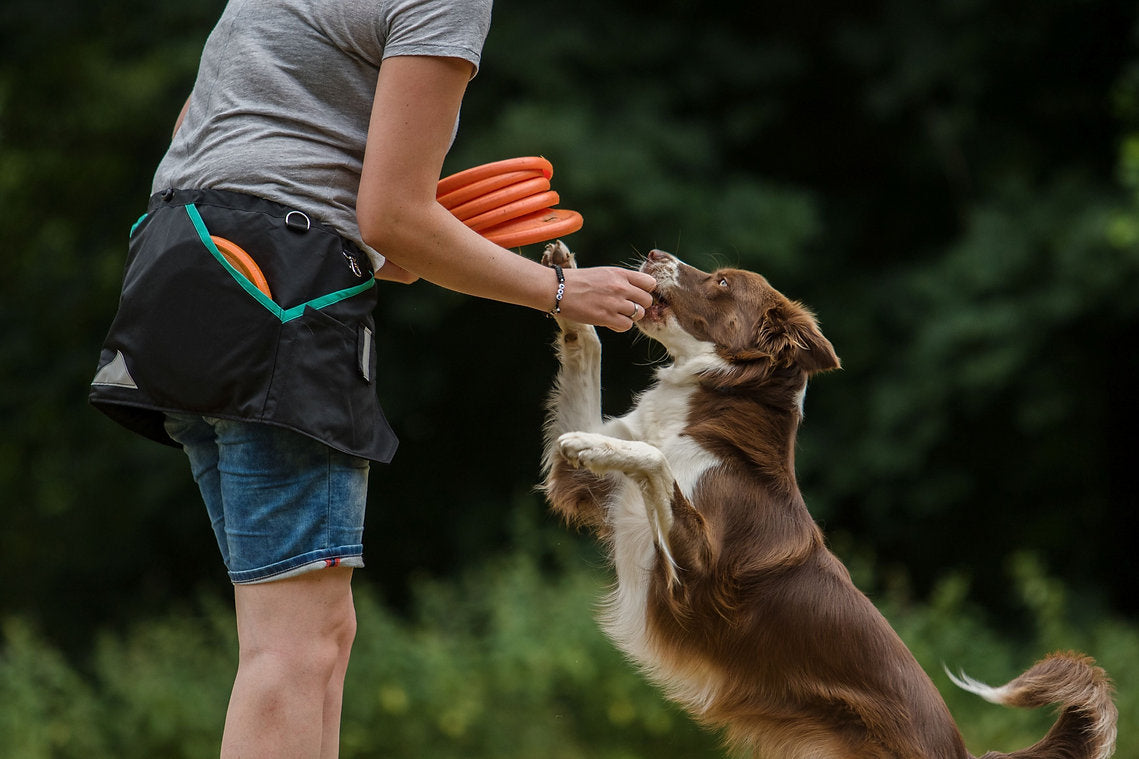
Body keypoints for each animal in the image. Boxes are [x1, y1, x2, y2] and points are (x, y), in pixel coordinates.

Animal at [537, 242, 1116, 756]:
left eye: (722, 282)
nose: (656, 253)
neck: (710, 408)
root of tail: (966, 754)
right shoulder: (589, 490)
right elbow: (591, 353)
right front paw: (568, 275)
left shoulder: (694, 580)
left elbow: (653, 460)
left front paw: (592, 444)